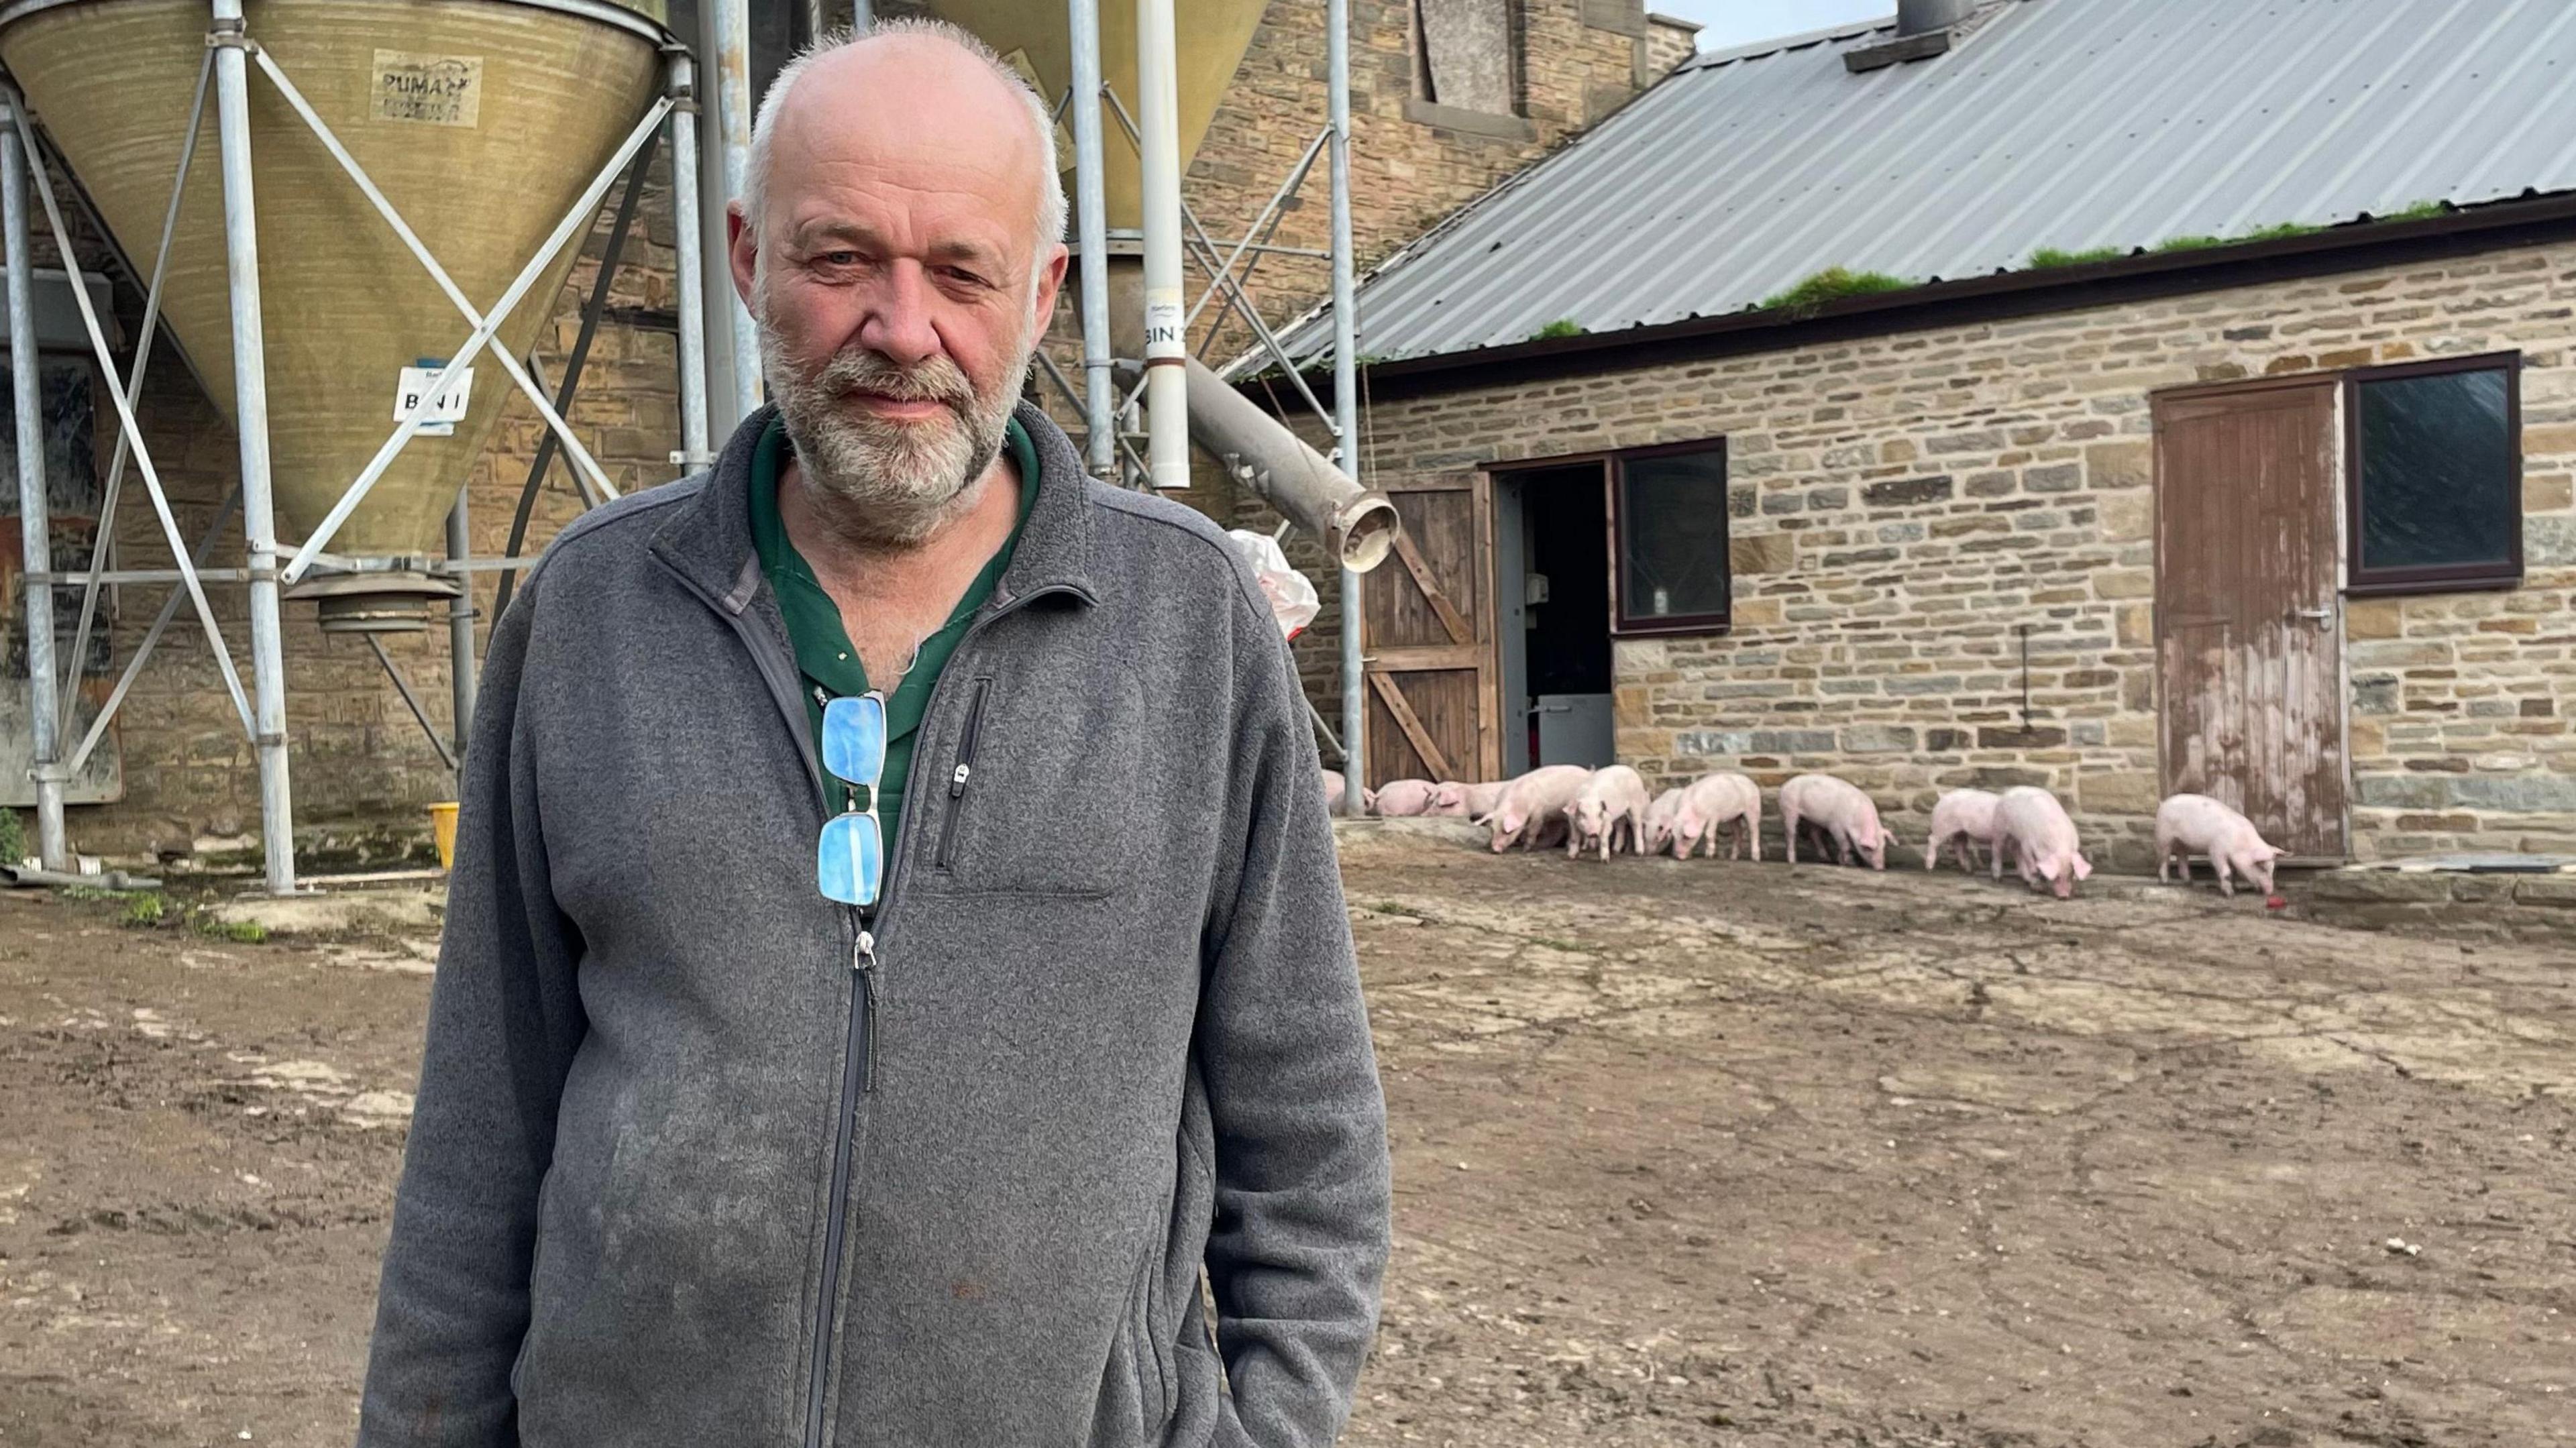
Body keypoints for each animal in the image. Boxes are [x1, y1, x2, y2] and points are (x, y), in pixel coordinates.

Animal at [1483, 763, 1597, 850]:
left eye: (1507, 832)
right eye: (1492, 829)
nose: (1495, 849)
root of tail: (1589, 773)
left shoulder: (1538, 812)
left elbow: (1533, 829)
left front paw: (1526, 849)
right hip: (1556, 818)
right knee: (1554, 835)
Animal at [1566, 767, 1648, 855]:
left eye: (1599, 814)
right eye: (1583, 814)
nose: (1594, 834)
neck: (1590, 798)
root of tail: (1630, 770)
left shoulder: (1607, 817)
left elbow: (1605, 834)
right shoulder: (1571, 820)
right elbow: (1574, 837)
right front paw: (1571, 855)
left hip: (1636, 804)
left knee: (1636, 825)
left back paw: (1639, 852)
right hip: (1620, 813)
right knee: (1620, 826)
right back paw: (1616, 851)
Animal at [1782, 767, 1885, 865]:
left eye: (1883, 847)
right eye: (1870, 849)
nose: (1881, 868)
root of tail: (1786, 785)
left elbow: (1844, 845)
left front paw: (1842, 861)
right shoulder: (1835, 826)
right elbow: (1846, 845)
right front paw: (1850, 863)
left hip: (1814, 819)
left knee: (1814, 834)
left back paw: (1827, 859)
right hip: (1789, 808)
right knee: (1791, 833)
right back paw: (1793, 861)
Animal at [1988, 783, 2092, 896]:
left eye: (2070, 874)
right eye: (2057, 876)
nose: (2064, 896)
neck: (2060, 846)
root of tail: (2010, 790)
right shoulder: (2027, 844)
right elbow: (2032, 866)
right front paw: (2038, 889)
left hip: (2016, 836)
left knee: (2015, 850)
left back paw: (2026, 880)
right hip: (1999, 827)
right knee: (1997, 848)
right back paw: (1997, 878)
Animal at [2163, 788, 2287, 891]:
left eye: (2272, 870)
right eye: (2262, 868)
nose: (2270, 892)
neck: (2241, 843)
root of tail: (2165, 802)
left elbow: (2234, 872)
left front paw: (2236, 888)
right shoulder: (2216, 850)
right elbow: (2226, 870)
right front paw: (2230, 894)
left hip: (2182, 844)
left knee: (2182, 857)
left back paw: (2189, 882)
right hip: (2164, 836)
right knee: (2165, 859)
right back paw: (2166, 881)